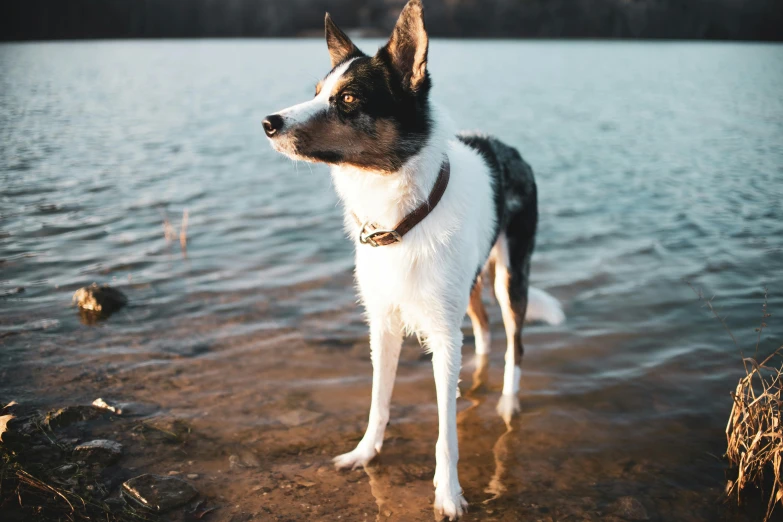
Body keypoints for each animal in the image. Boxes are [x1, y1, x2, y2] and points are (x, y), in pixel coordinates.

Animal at [264, 0, 564, 512]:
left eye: (348, 99)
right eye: (318, 92)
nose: (268, 123)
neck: (400, 217)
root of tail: (508, 147)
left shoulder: (442, 334)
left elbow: (445, 433)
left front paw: (448, 494)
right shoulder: (382, 325)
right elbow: (378, 401)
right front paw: (365, 454)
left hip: (511, 277)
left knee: (515, 342)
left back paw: (507, 402)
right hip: (469, 286)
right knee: (484, 332)